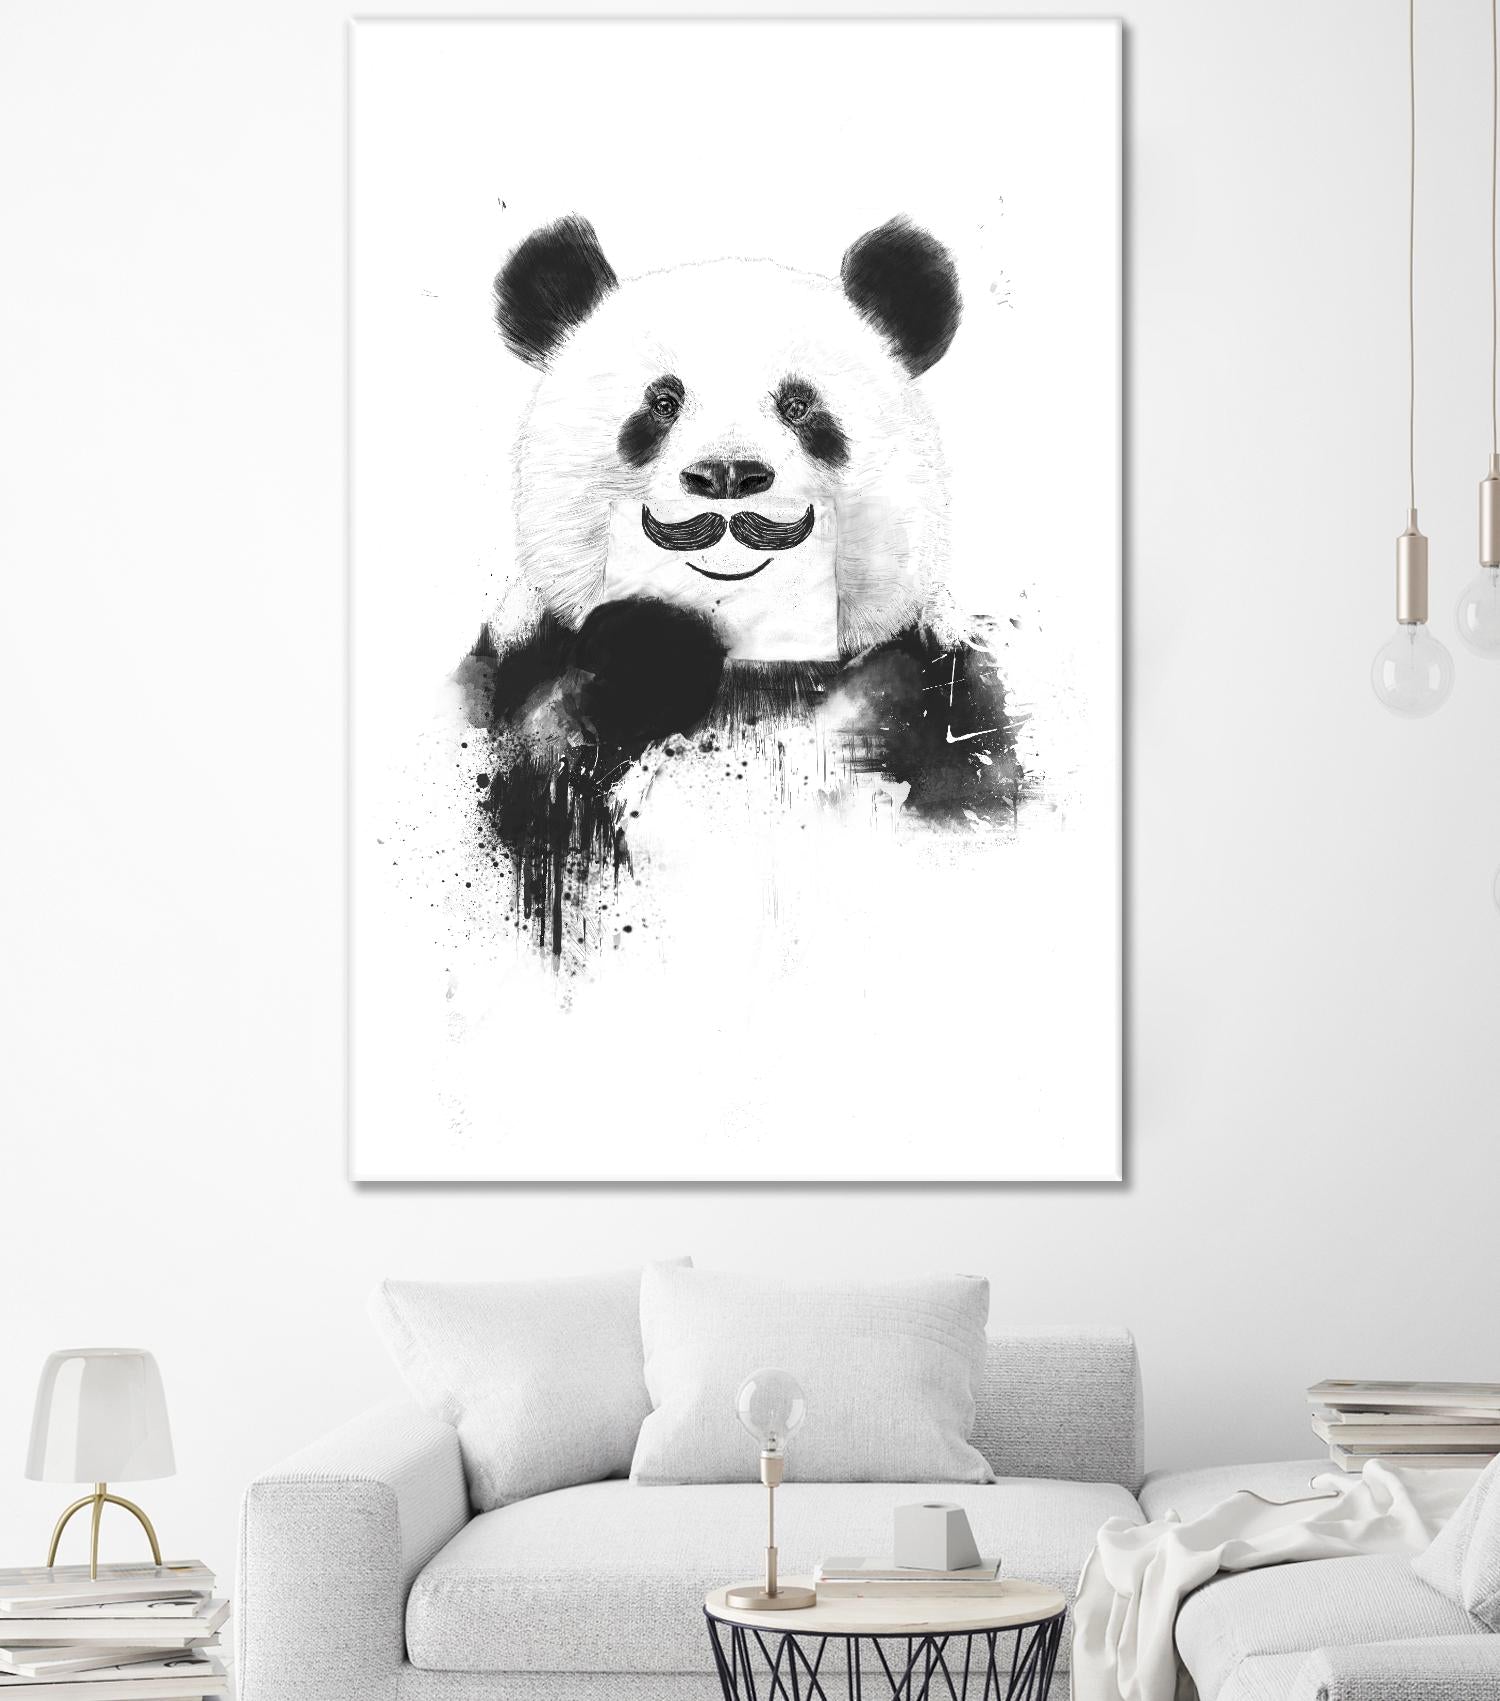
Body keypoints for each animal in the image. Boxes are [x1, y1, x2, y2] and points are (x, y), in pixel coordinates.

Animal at [450, 214, 1025, 962]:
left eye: (799, 405)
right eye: (662, 402)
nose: (727, 475)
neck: (750, 669)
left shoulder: (933, 684)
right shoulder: (513, 674)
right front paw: (649, 652)